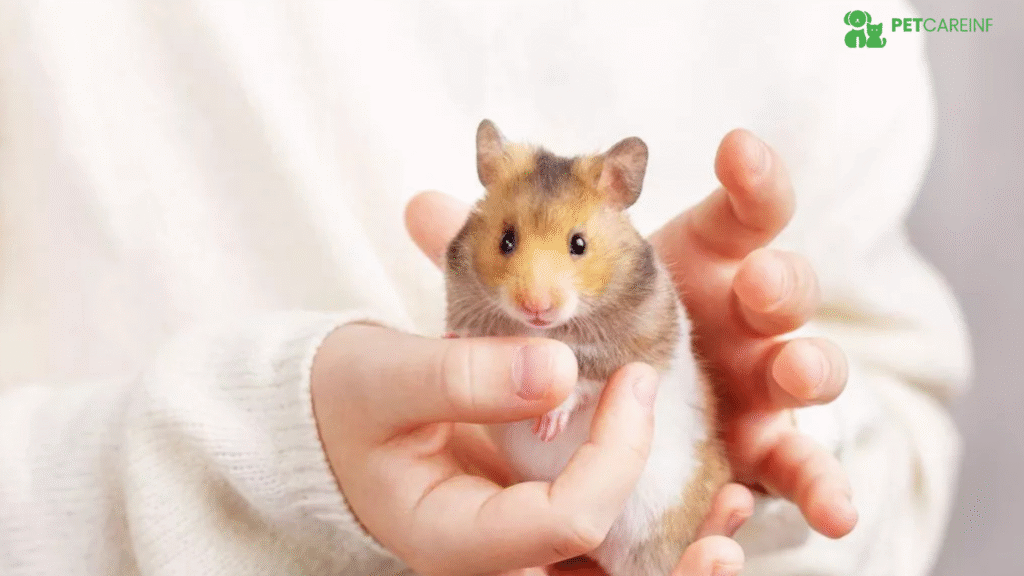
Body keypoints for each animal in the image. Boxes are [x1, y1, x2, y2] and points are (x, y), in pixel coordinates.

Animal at [444, 119, 731, 576]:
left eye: (578, 244)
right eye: (506, 240)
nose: (536, 308)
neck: (546, 330)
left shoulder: (631, 349)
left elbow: (585, 381)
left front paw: (547, 426)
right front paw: (450, 343)